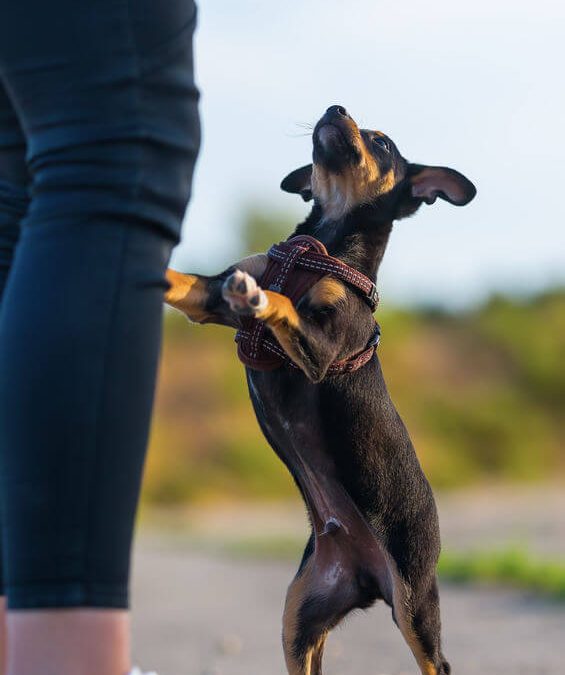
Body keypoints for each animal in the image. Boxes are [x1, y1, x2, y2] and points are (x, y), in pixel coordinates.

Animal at [166, 105, 476, 675]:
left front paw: (264, 299)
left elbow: (283, 305)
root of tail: (364, 577)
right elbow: (186, 281)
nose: (335, 108)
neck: (324, 244)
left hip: (416, 605)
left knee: (437, 662)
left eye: (382, 143)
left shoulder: (321, 347)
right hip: (300, 624)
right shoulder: (211, 296)